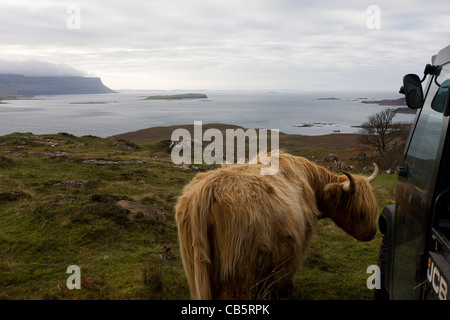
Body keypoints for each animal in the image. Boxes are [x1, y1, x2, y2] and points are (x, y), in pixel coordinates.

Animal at [174, 151, 378, 298]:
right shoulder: (299, 243)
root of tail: (206, 192)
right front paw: (288, 292)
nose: (372, 233)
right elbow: (288, 274)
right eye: (360, 211)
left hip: (195, 271)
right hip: (236, 270)